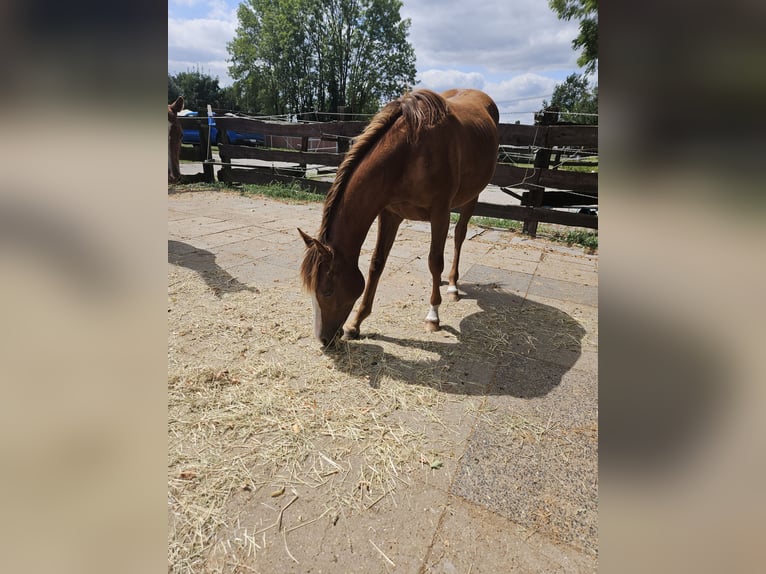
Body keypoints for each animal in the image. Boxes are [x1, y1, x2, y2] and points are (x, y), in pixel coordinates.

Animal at [299, 88, 499, 347]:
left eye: (327, 291)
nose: (323, 339)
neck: (410, 153)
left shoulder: (440, 212)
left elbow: (435, 262)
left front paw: (433, 316)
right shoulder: (389, 214)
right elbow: (377, 264)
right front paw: (356, 324)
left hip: (472, 197)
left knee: (459, 236)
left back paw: (453, 286)